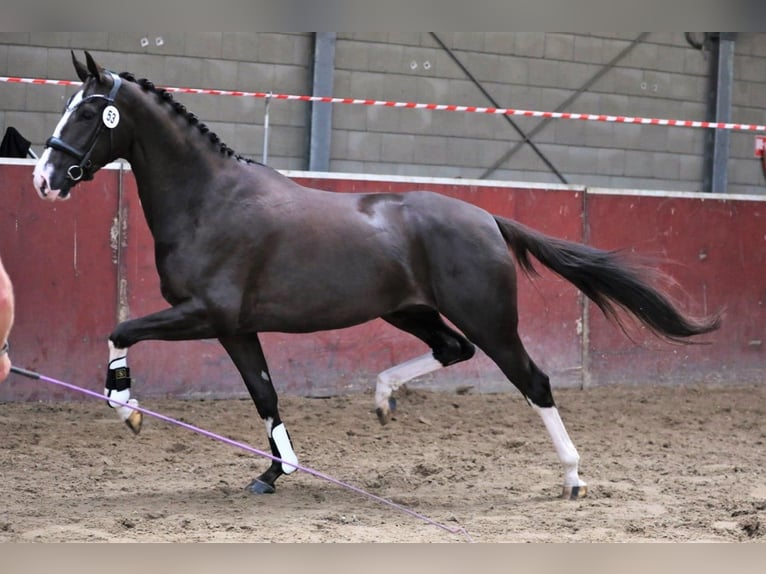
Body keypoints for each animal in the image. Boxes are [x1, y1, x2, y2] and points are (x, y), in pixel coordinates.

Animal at [33, 53, 724, 500]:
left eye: (90, 113)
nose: (45, 178)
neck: (211, 200)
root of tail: (488, 218)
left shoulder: (204, 314)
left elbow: (121, 329)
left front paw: (127, 408)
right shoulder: (234, 327)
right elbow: (265, 394)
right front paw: (274, 473)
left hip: (490, 320)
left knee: (534, 381)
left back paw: (574, 478)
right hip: (408, 310)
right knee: (452, 350)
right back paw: (384, 398)